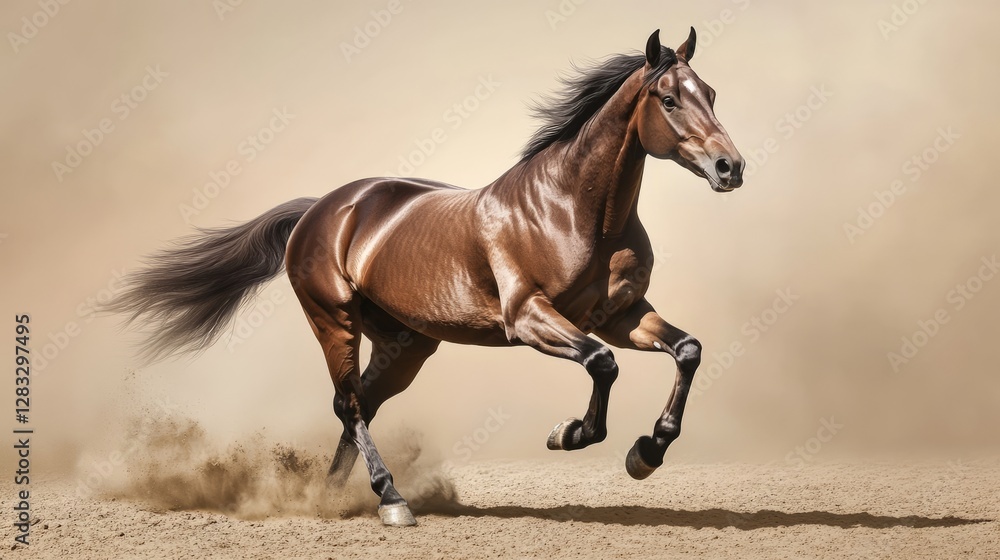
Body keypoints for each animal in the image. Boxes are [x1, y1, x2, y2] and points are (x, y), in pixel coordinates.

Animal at [108, 28, 744, 527]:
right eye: (668, 99)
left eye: (710, 94)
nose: (730, 167)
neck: (575, 210)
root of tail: (323, 208)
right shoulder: (529, 318)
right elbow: (603, 365)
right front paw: (569, 434)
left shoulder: (618, 315)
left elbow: (686, 350)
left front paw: (647, 452)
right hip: (333, 320)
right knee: (350, 404)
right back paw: (390, 500)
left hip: (405, 344)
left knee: (359, 403)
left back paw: (330, 498)